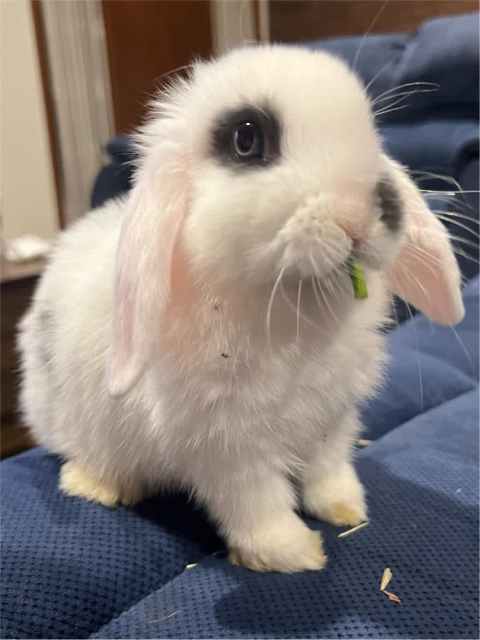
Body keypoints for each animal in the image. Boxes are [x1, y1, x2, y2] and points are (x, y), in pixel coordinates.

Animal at [18, 45, 464, 573]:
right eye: (246, 138)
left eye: (371, 130)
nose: (371, 208)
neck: (291, 305)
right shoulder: (226, 447)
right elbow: (257, 504)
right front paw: (295, 554)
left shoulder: (331, 421)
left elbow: (328, 470)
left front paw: (346, 509)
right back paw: (96, 485)